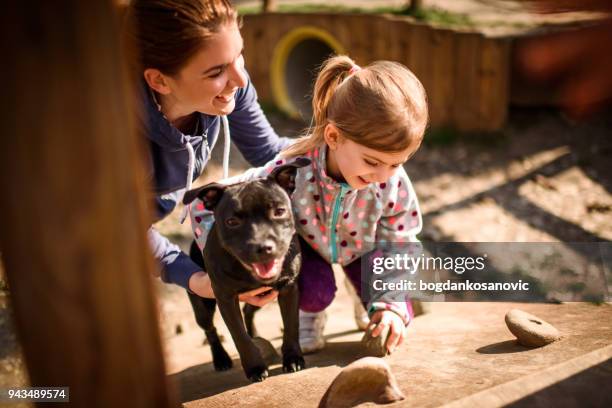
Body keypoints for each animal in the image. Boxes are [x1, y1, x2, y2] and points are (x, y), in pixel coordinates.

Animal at [179, 158, 308, 380]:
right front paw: (255, 367)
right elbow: (239, 337)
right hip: (203, 304)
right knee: (210, 330)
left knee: (248, 310)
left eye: (279, 211)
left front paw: (292, 358)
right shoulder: (225, 299)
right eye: (232, 221)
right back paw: (221, 358)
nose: (263, 247)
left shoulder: (289, 289)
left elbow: (291, 326)